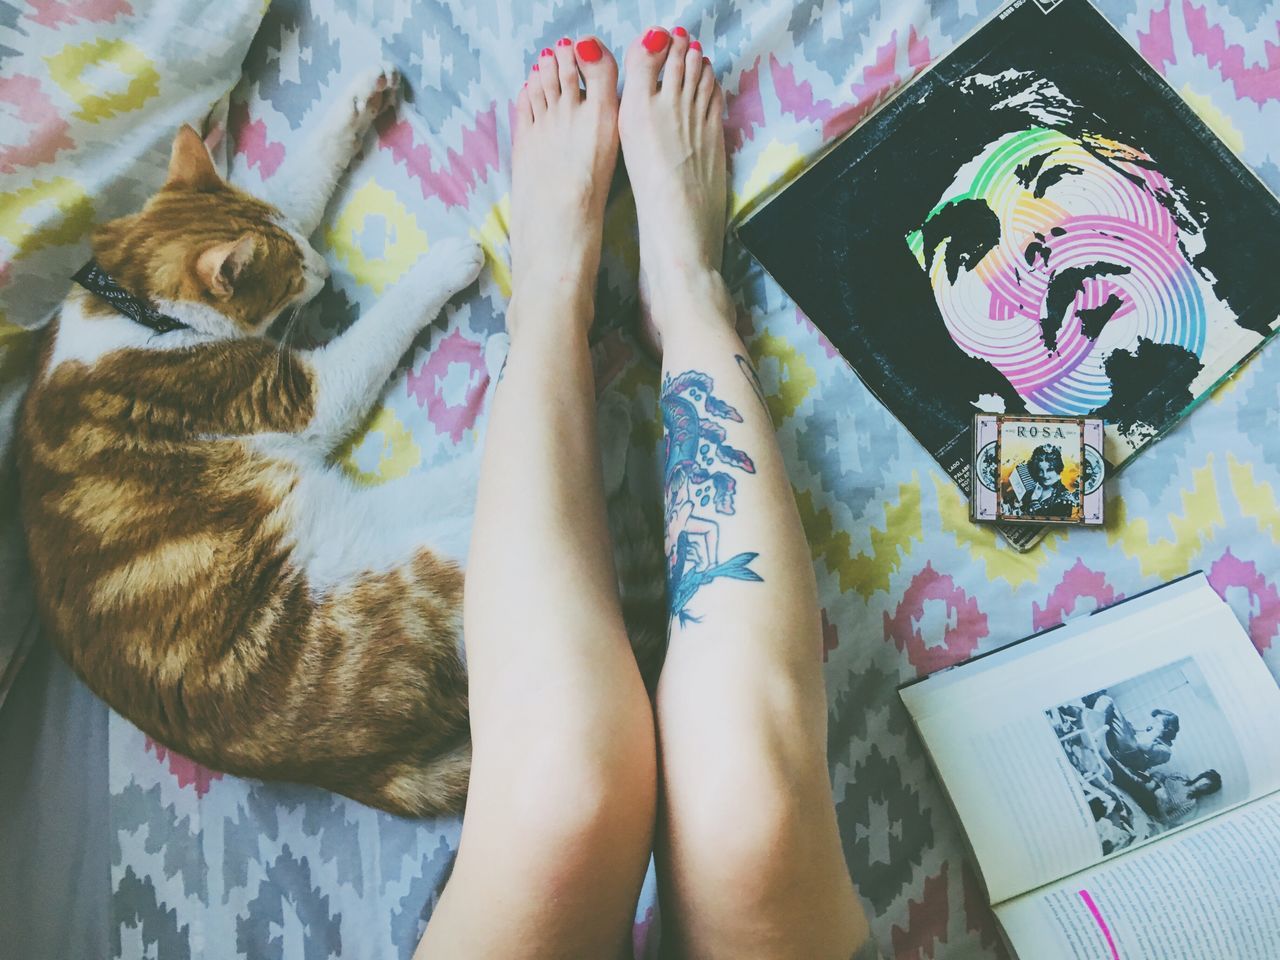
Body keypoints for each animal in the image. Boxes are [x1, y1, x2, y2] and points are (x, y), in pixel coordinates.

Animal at [18, 71, 488, 814]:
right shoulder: (300, 394)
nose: (327, 270)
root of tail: (364, 772)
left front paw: (359, 102)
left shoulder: (274, 207)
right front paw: (444, 261)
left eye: (299, 245)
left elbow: (298, 179)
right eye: (294, 276)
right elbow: (379, 330)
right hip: (417, 555)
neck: (134, 309)